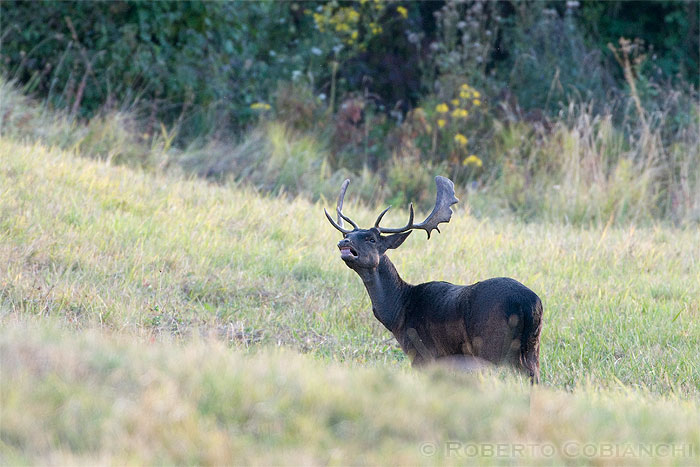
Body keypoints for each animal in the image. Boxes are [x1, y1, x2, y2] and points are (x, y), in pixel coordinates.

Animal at [326, 177, 544, 382]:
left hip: (493, 346)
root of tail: (531, 304)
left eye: (371, 239)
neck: (398, 314)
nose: (344, 241)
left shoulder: (423, 354)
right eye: (349, 234)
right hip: (532, 348)